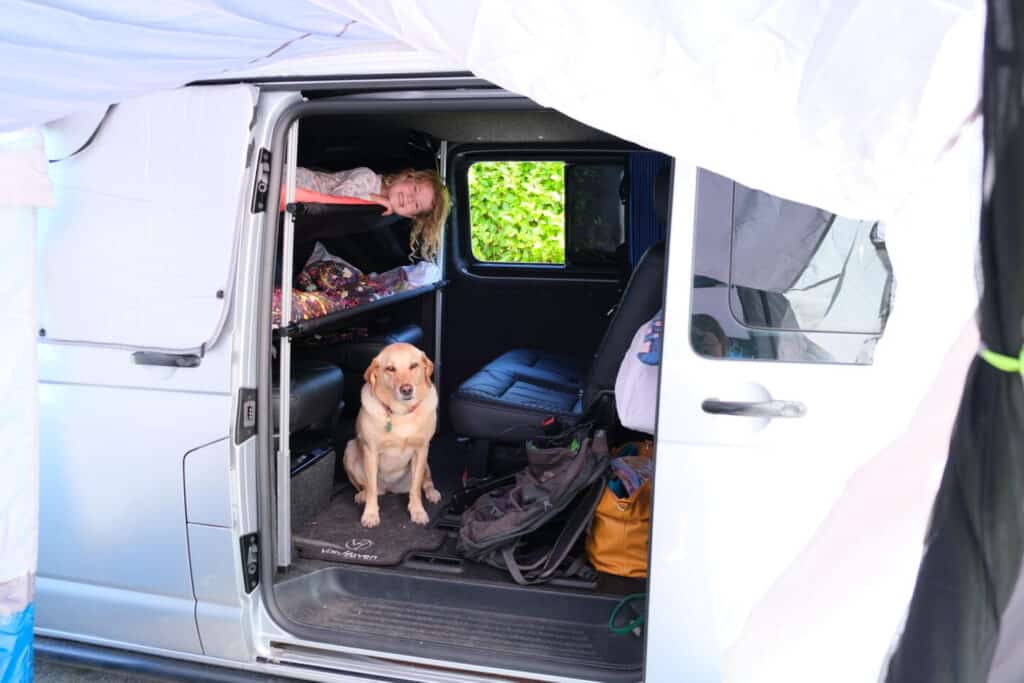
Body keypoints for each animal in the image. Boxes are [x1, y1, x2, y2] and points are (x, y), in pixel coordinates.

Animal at [344, 342, 440, 528]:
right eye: (390, 369)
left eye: (413, 366)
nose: (406, 389)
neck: (401, 413)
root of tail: (391, 489)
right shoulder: (371, 451)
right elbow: (371, 488)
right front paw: (370, 514)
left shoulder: (421, 449)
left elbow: (416, 489)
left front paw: (417, 511)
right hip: (350, 449)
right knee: (366, 487)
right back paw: (362, 495)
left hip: (426, 464)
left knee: (426, 482)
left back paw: (432, 493)